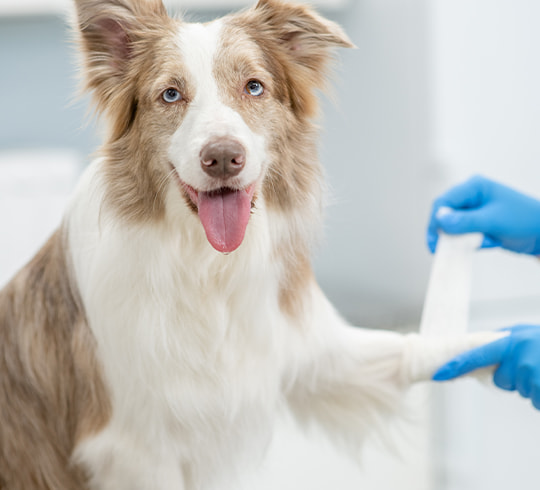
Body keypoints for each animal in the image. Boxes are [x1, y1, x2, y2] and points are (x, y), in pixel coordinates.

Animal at [0, 0, 498, 490]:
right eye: (171, 95)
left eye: (254, 87)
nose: (223, 157)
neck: (207, 267)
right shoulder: (137, 449)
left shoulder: (313, 350)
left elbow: (412, 350)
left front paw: (495, 349)